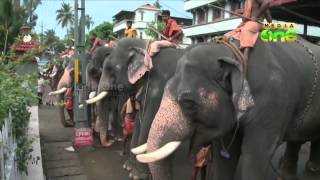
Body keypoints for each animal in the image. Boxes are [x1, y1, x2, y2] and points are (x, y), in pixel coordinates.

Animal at [87, 38, 186, 179]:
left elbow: (147, 124)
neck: (145, 46)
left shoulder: (159, 89)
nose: (109, 142)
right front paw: (128, 167)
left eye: (111, 71)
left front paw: (137, 175)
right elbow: (140, 121)